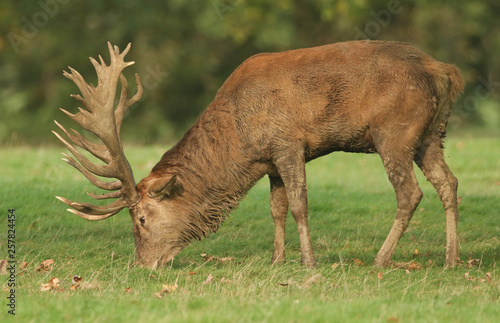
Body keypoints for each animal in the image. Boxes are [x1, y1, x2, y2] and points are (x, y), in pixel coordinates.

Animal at [52, 41, 462, 270]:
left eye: (140, 219)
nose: (143, 265)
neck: (242, 143)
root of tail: (444, 71)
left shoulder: (288, 144)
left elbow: (298, 205)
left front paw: (308, 263)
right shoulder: (270, 162)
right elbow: (276, 208)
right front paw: (277, 261)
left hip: (394, 130)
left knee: (410, 193)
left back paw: (380, 260)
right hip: (431, 134)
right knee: (449, 183)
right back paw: (451, 259)